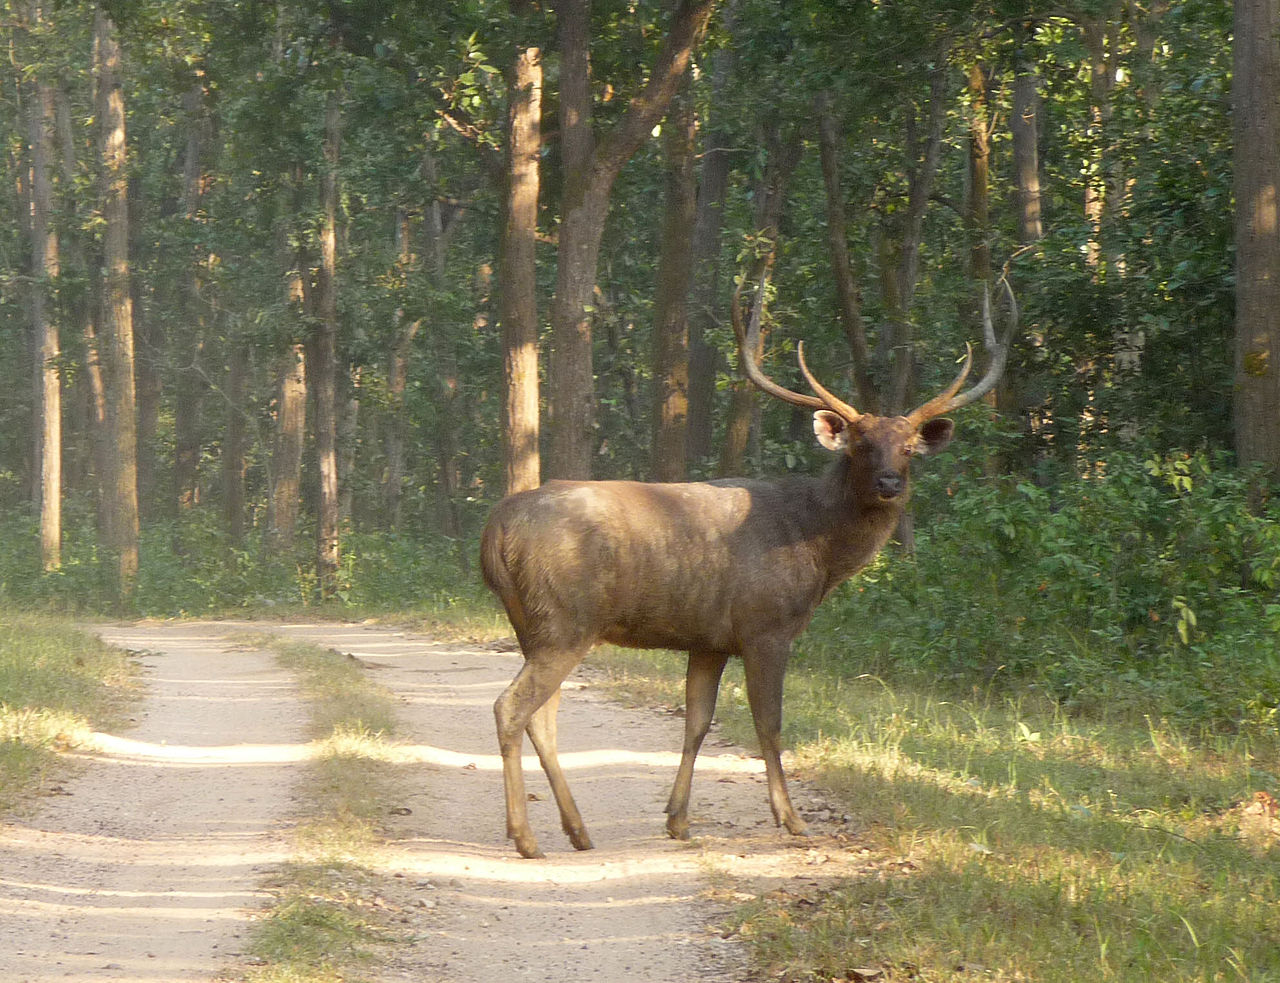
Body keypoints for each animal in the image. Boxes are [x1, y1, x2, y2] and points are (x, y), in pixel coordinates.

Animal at [483, 279, 1013, 860]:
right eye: (861, 444)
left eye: (910, 447)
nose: (889, 482)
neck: (819, 550)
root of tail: (495, 533)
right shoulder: (766, 626)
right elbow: (770, 722)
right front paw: (791, 818)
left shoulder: (709, 639)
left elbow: (697, 723)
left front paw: (678, 820)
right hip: (565, 620)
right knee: (512, 707)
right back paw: (526, 837)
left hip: (534, 624)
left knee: (543, 718)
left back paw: (577, 830)